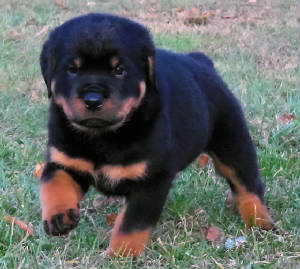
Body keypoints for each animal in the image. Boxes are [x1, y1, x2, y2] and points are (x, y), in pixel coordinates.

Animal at [38, 12, 274, 255]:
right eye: (72, 69)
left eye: (119, 70)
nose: (93, 100)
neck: (102, 136)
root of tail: (202, 62)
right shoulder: (64, 161)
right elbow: (54, 184)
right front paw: (58, 217)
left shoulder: (152, 181)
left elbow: (132, 225)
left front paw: (121, 254)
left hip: (232, 142)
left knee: (248, 184)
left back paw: (259, 220)